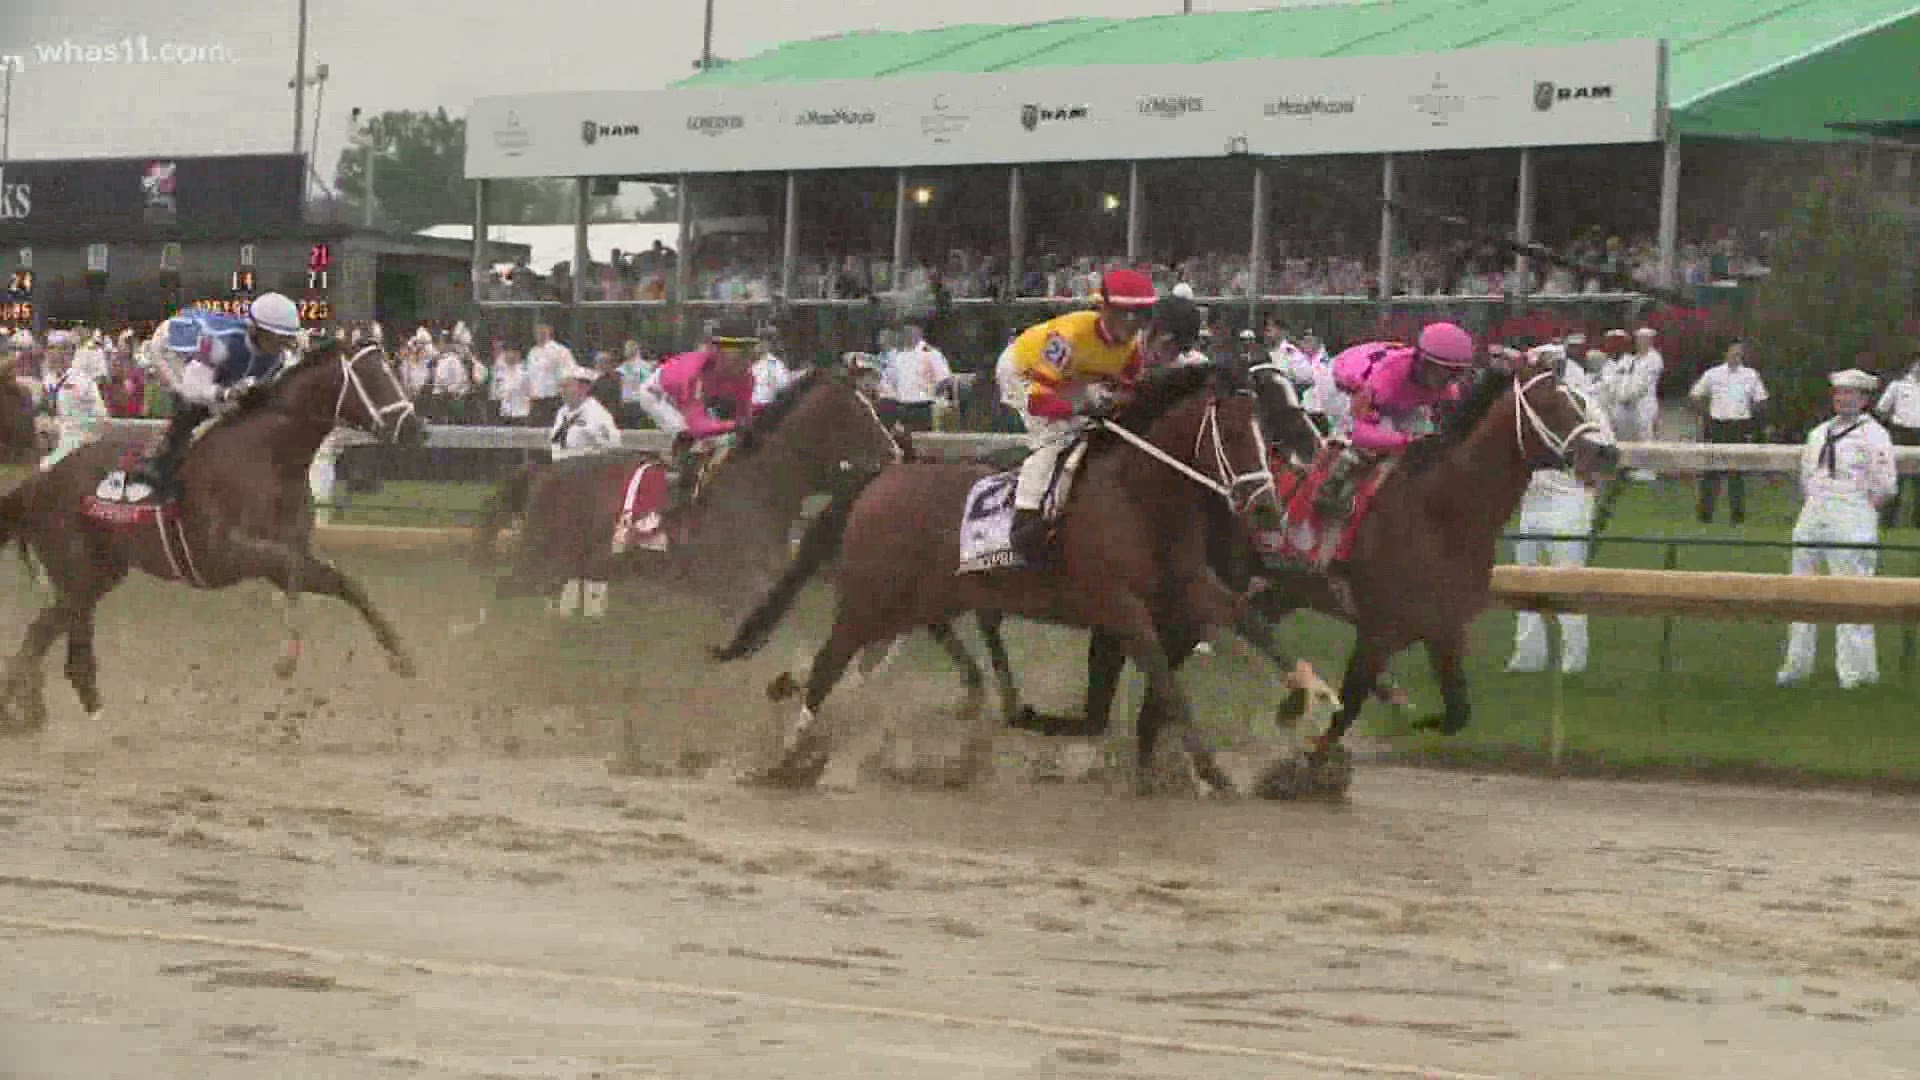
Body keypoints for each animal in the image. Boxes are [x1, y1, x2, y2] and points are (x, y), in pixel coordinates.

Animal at [0, 336, 424, 730]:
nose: (416, 428)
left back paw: (38, 708)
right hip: (77, 569)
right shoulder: (223, 554)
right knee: (58, 640)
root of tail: (39, 482)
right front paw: (287, 657)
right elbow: (290, 567)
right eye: (373, 377)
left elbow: (343, 582)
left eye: (391, 370)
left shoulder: (283, 553)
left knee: (51, 633)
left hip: (99, 574)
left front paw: (401, 656)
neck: (269, 457)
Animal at [476, 357, 902, 614]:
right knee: (503, 592)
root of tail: (542, 474)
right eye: (857, 412)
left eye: (874, 405)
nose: (896, 452)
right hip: (541, 558)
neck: (760, 486)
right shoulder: (737, 588)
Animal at [714, 361, 1282, 791]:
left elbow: (1251, 624)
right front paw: (1212, 773)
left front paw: (1299, 702)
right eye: (1234, 434)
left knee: (872, 655)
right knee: (830, 662)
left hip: (917, 600)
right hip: (870, 599)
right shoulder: (1121, 608)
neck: (1137, 496)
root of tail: (882, 476)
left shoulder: (1189, 589)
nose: (1268, 511)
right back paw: (789, 755)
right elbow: (1168, 686)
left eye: (1268, 438)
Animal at [1251, 357, 1612, 795]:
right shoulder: (1378, 629)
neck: (1441, 513)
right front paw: (1306, 773)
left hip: (1285, 589)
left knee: (1258, 625)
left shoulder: (1445, 628)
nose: (1606, 453)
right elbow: (1348, 705)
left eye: (1580, 401)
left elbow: (1458, 712)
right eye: (1550, 404)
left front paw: (1414, 718)